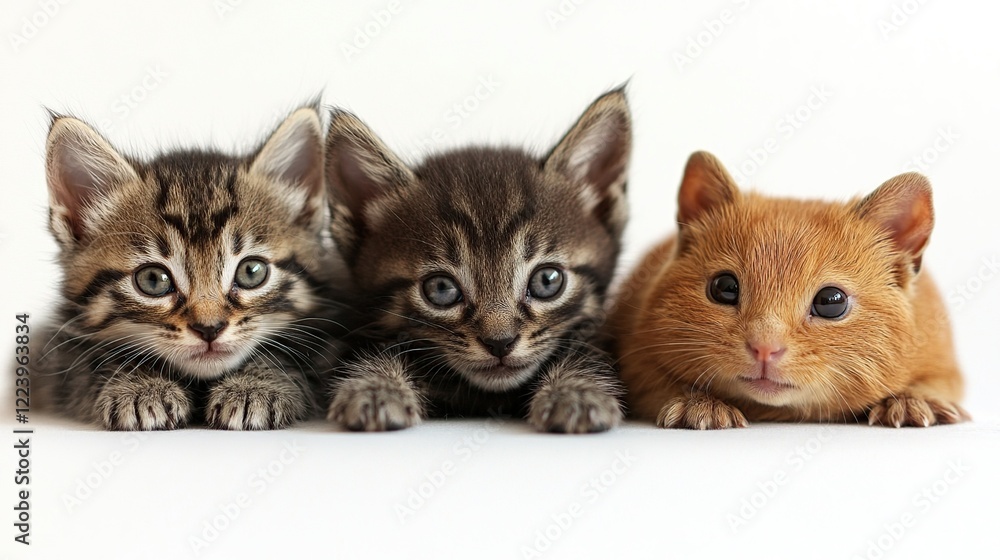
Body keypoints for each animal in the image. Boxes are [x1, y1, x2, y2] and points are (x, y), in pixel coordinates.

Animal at [36, 109, 348, 430]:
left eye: (251, 272)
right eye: (153, 280)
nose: (209, 329)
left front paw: (255, 386)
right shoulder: (55, 356)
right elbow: (89, 363)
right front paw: (139, 387)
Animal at [324, 91, 628, 434]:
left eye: (547, 281)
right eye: (441, 289)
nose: (500, 342)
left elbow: (584, 352)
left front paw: (576, 393)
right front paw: (374, 389)